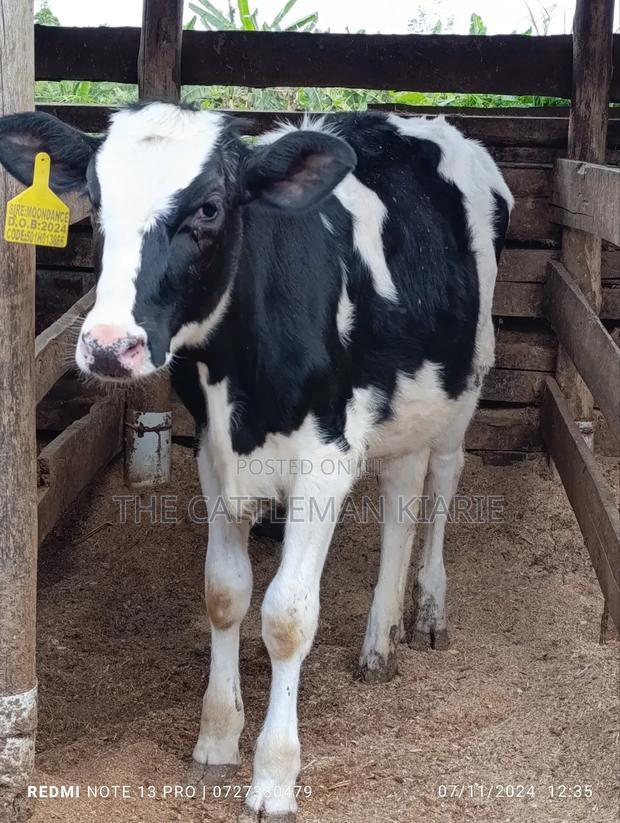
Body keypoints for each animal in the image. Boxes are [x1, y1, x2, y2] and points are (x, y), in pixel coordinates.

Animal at [0, 103, 512, 819]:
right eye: (97, 202)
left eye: (210, 208)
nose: (108, 347)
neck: (240, 374)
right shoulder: (215, 460)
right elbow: (225, 594)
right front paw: (217, 738)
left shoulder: (324, 463)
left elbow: (287, 618)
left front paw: (274, 775)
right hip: (403, 401)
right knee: (401, 500)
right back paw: (378, 642)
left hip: (466, 379)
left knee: (440, 483)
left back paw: (429, 611)